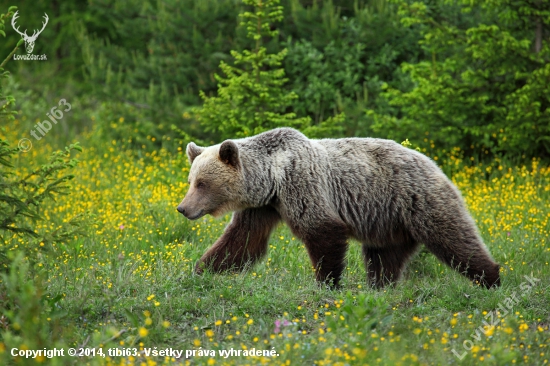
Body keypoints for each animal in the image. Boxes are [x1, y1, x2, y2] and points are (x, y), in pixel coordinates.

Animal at [179, 128, 502, 288]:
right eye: (191, 180)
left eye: (203, 183)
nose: (183, 208)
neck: (273, 177)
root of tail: (434, 163)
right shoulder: (263, 207)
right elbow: (242, 241)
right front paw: (201, 269)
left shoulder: (302, 185)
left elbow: (323, 231)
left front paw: (327, 283)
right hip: (387, 222)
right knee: (384, 257)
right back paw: (380, 287)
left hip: (418, 200)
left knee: (454, 239)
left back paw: (492, 278)